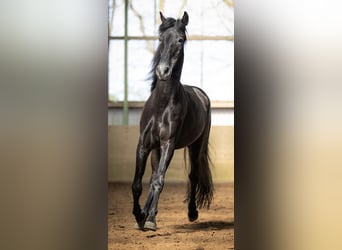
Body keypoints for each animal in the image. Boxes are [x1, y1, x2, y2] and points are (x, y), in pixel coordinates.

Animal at [132, 11, 214, 230]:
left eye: (180, 39)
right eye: (161, 38)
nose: (162, 71)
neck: (161, 105)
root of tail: (200, 93)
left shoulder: (168, 143)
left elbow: (159, 181)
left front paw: (149, 219)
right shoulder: (144, 144)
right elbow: (138, 183)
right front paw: (139, 215)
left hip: (196, 147)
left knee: (193, 176)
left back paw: (191, 213)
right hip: (156, 149)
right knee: (153, 176)